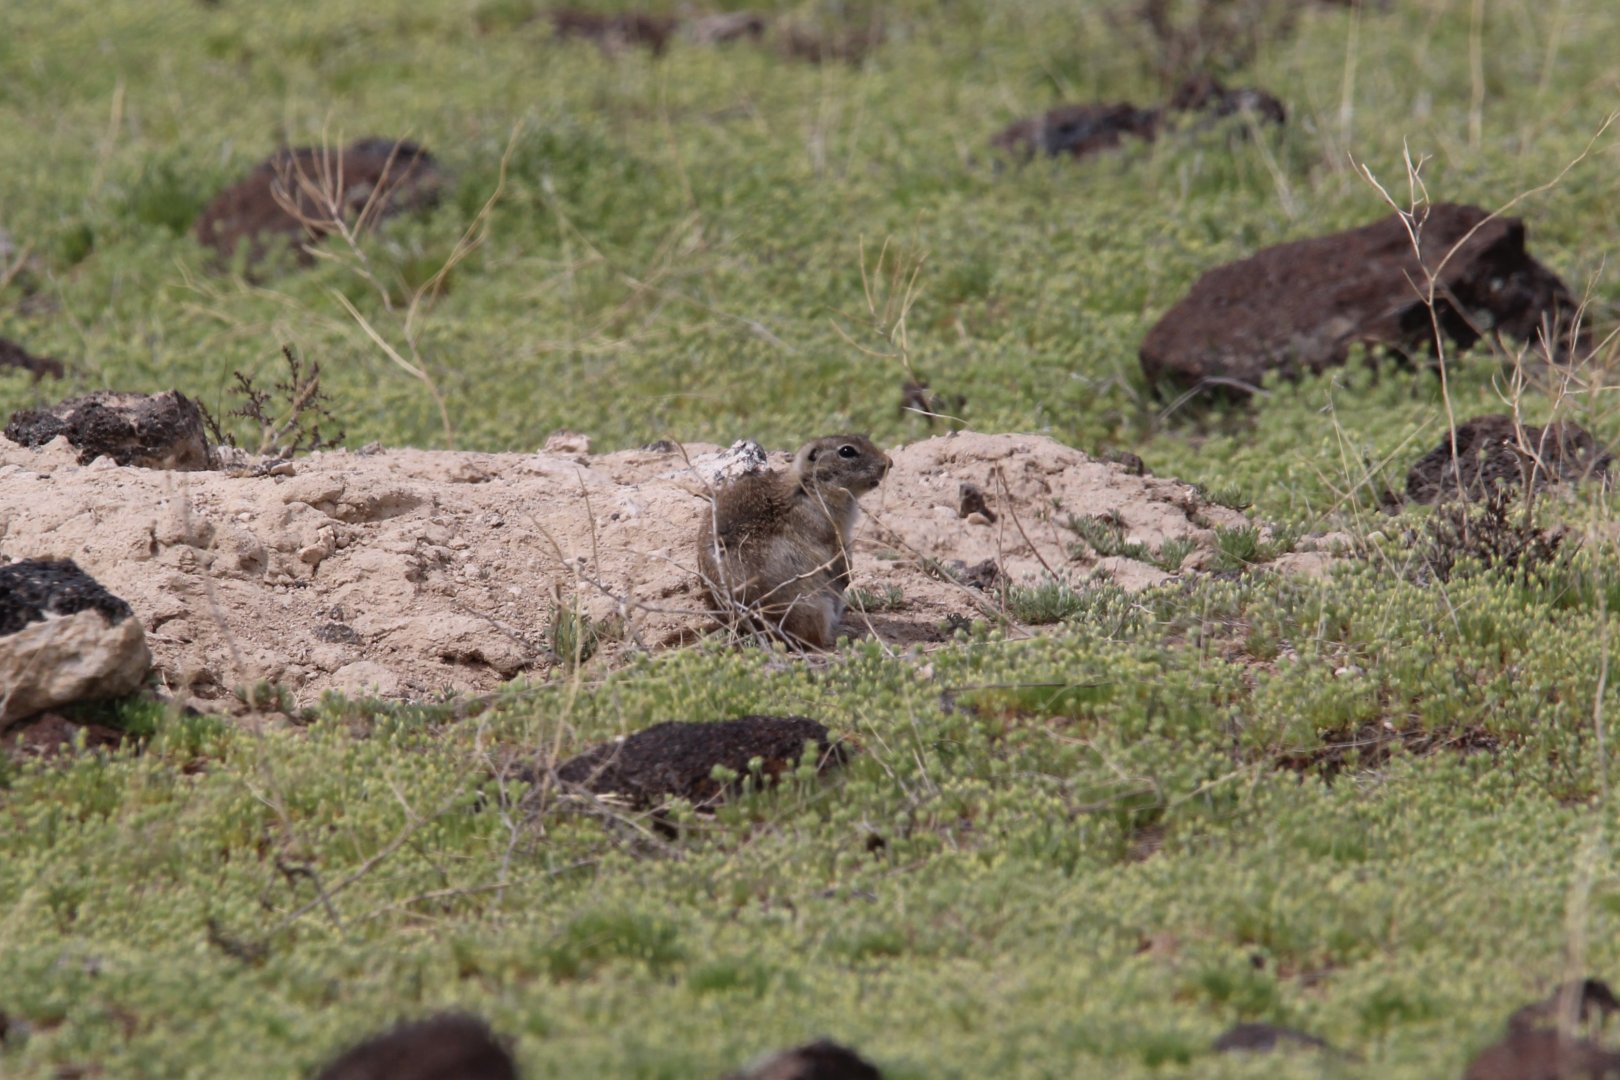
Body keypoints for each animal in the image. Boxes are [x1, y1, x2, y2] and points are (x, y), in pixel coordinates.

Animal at [697, 434, 892, 650]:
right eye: (847, 451)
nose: (888, 462)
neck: (809, 488)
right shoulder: (825, 529)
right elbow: (834, 553)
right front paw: (846, 573)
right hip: (816, 606)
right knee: (816, 640)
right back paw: (844, 633)